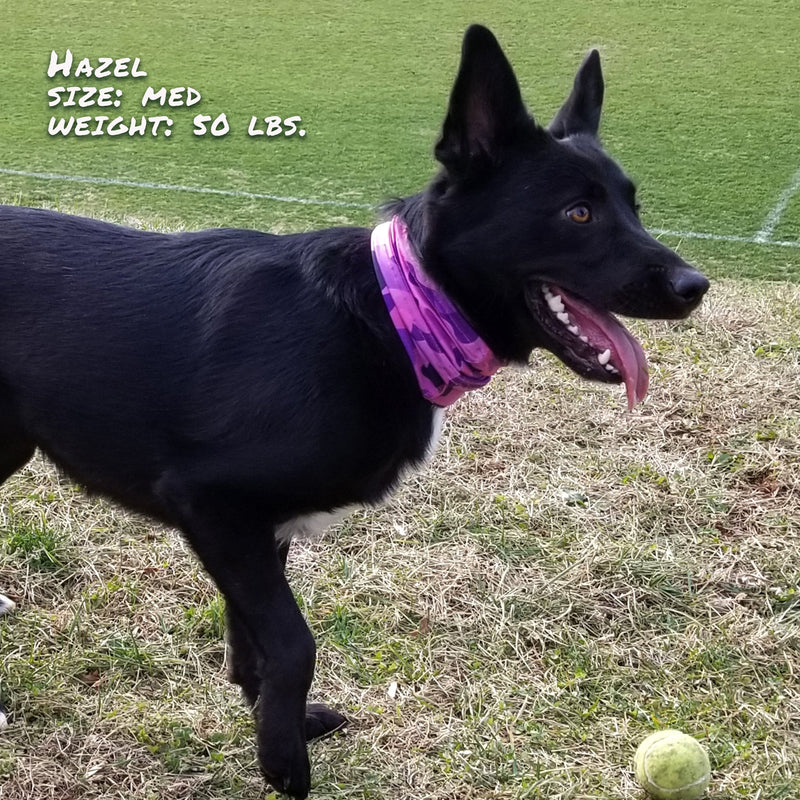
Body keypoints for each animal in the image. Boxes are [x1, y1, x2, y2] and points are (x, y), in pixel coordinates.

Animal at [0, 23, 708, 792]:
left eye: (634, 206)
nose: (695, 286)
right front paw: (284, 762)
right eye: (578, 213)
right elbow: (292, 643)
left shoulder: (257, 532)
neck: (394, 315)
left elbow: (251, 641)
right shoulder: (212, 506)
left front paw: (277, 725)